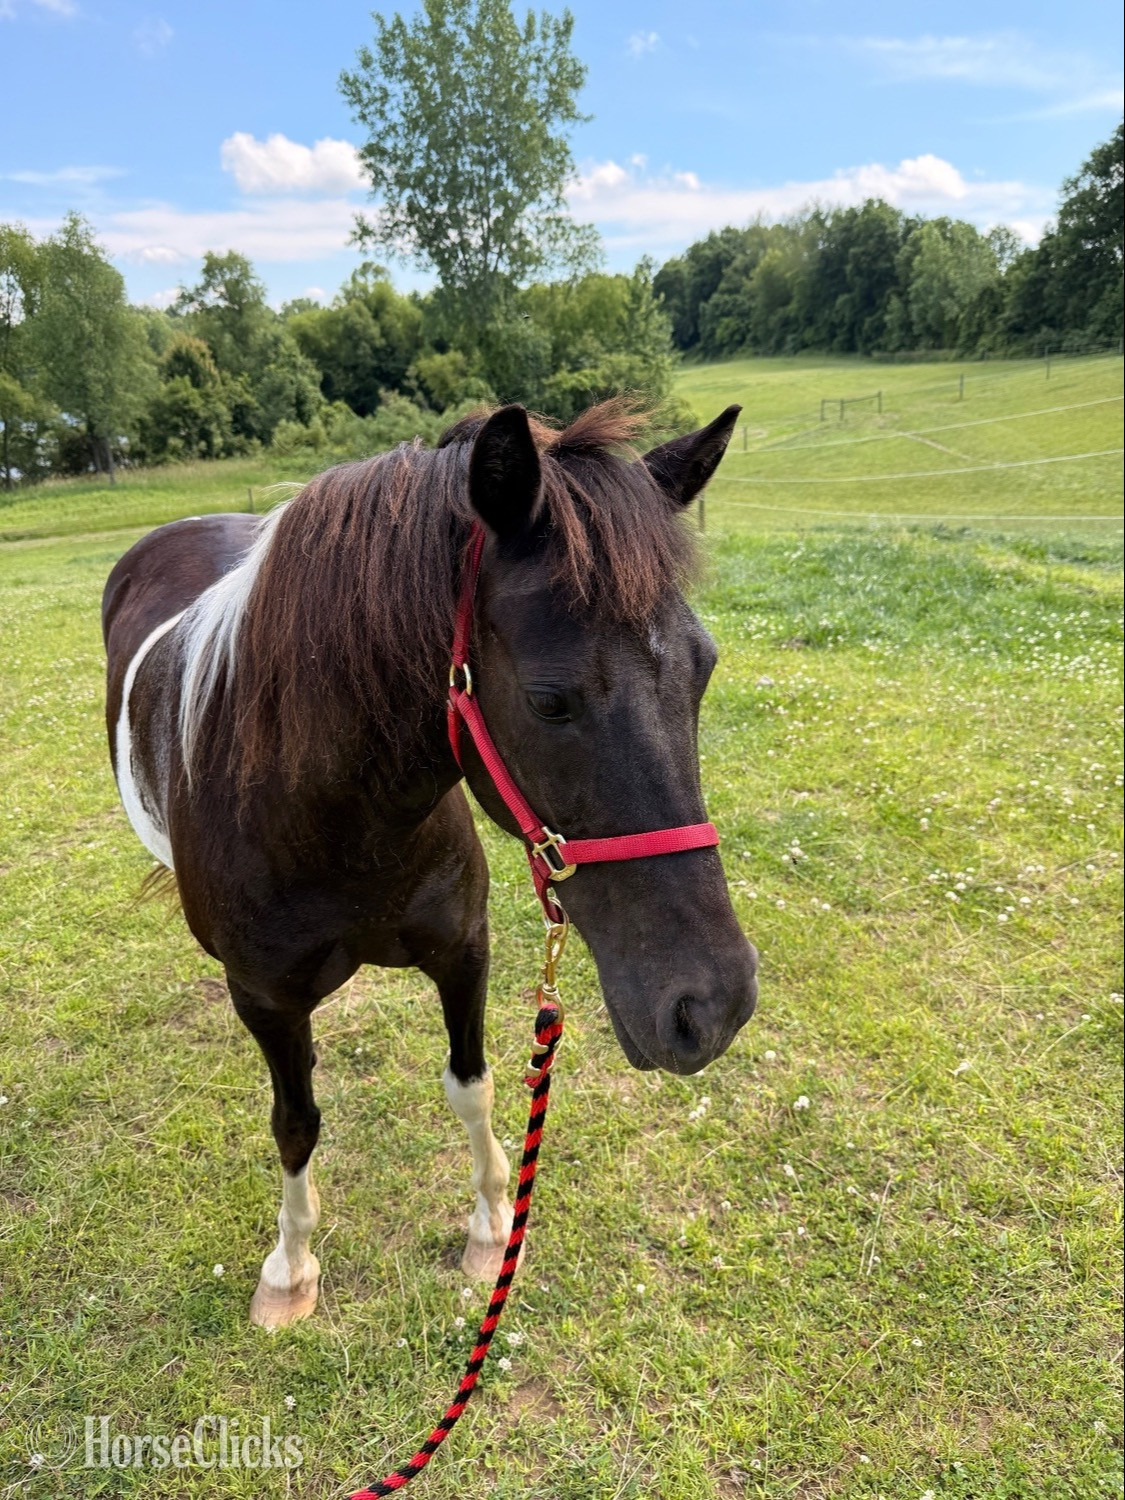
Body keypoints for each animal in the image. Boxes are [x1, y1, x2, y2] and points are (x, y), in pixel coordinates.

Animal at [101, 400, 758, 1330]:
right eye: (547, 700)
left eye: (703, 669)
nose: (715, 1005)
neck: (332, 818)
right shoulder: (265, 999)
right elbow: (294, 1123)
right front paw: (289, 1270)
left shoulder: (463, 951)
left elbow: (471, 1085)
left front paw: (490, 1227)